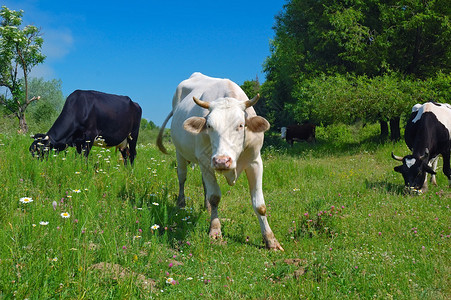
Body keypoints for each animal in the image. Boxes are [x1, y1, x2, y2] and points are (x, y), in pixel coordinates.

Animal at [157, 73, 284, 251]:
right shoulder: (206, 161)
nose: (221, 161)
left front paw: (271, 240)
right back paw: (181, 203)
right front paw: (215, 231)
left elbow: (260, 205)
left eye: (241, 125)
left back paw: (206, 207)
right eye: (209, 126)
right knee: (182, 177)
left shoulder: (255, 162)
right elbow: (215, 196)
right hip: (180, 153)